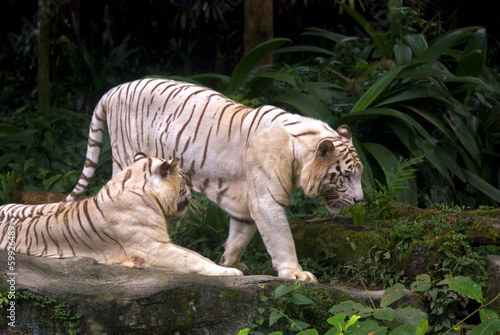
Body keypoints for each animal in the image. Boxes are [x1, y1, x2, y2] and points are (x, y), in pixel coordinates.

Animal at [0, 154, 242, 276]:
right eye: (183, 177)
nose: (192, 194)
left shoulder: (160, 242)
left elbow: (196, 254)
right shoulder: (150, 247)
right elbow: (191, 259)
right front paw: (230, 272)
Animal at [67, 79, 364, 284]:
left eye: (359, 175)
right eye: (346, 176)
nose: (360, 199)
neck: (299, 157)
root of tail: (114, 90)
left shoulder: (246, 205)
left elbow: (238, 238)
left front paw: (227, 264)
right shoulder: (267, 201)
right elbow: (282, 239)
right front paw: (296, 273)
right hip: (128, 156)